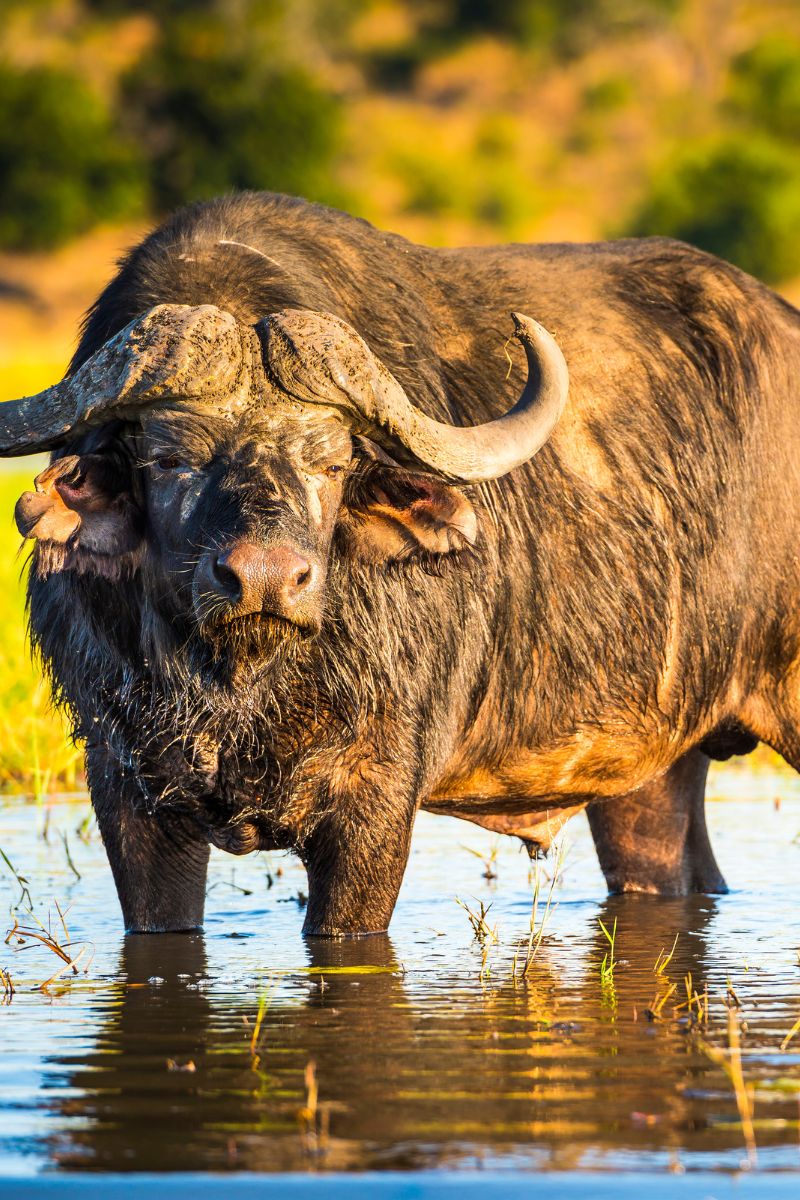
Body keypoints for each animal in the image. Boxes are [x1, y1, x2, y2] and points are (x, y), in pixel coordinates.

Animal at [3, 191, 796, 935]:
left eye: (330, 463)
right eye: (170, 459)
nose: (266, 578)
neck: (244, 687)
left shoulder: (376, 800)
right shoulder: (128, 792)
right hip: (651, 773)